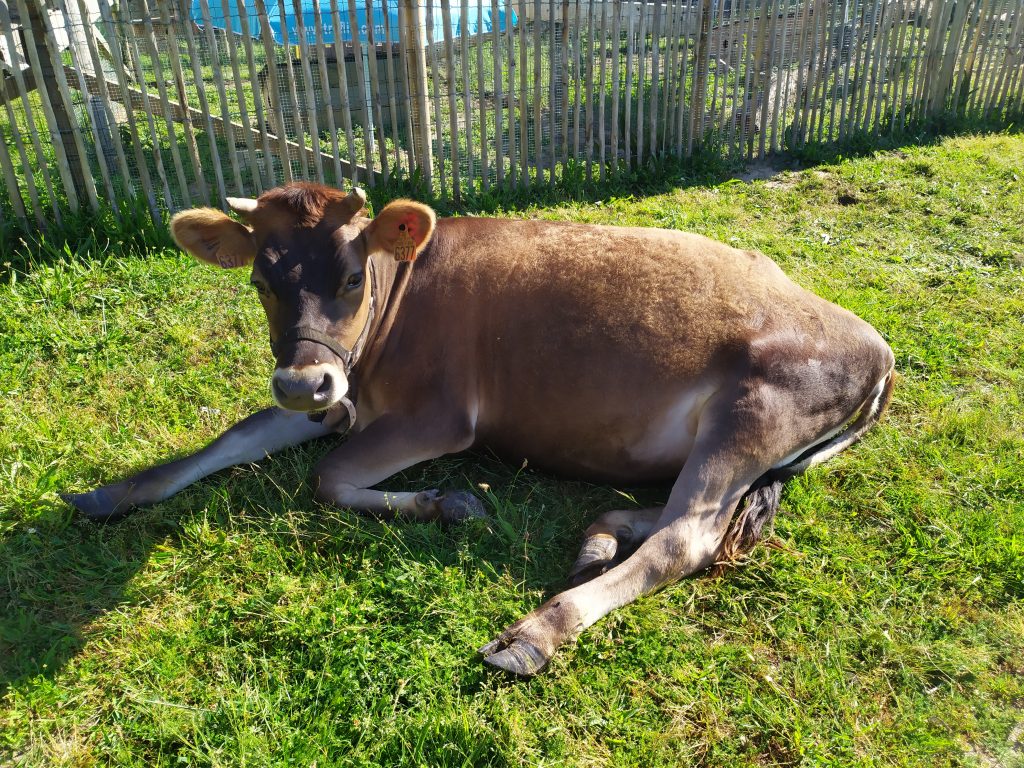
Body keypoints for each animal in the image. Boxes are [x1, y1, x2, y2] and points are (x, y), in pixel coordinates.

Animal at [62, 183, 895, 676]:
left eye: (352, 276)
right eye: (262, 281)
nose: (303, 380)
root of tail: (872, 338)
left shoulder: (437, 416)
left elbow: (327, 478)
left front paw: (448, 502)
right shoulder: (338, 397)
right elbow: (230, 437)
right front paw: (110, 493)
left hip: (752, 410)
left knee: (686, 538)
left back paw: (535, 633)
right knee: (681, 515)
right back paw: (601, 533)